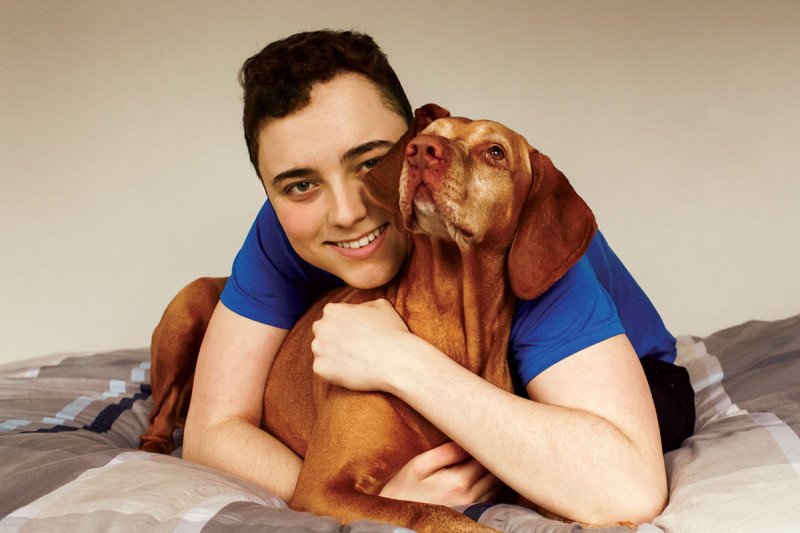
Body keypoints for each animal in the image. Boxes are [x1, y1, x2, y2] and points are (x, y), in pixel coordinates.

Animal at [141, 105, 596, 532]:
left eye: (495, 152)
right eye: (430, 135)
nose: (421, 151)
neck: (454, 331)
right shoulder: (321, 485)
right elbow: (432, 511)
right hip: (191, 304)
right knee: (159, 411)